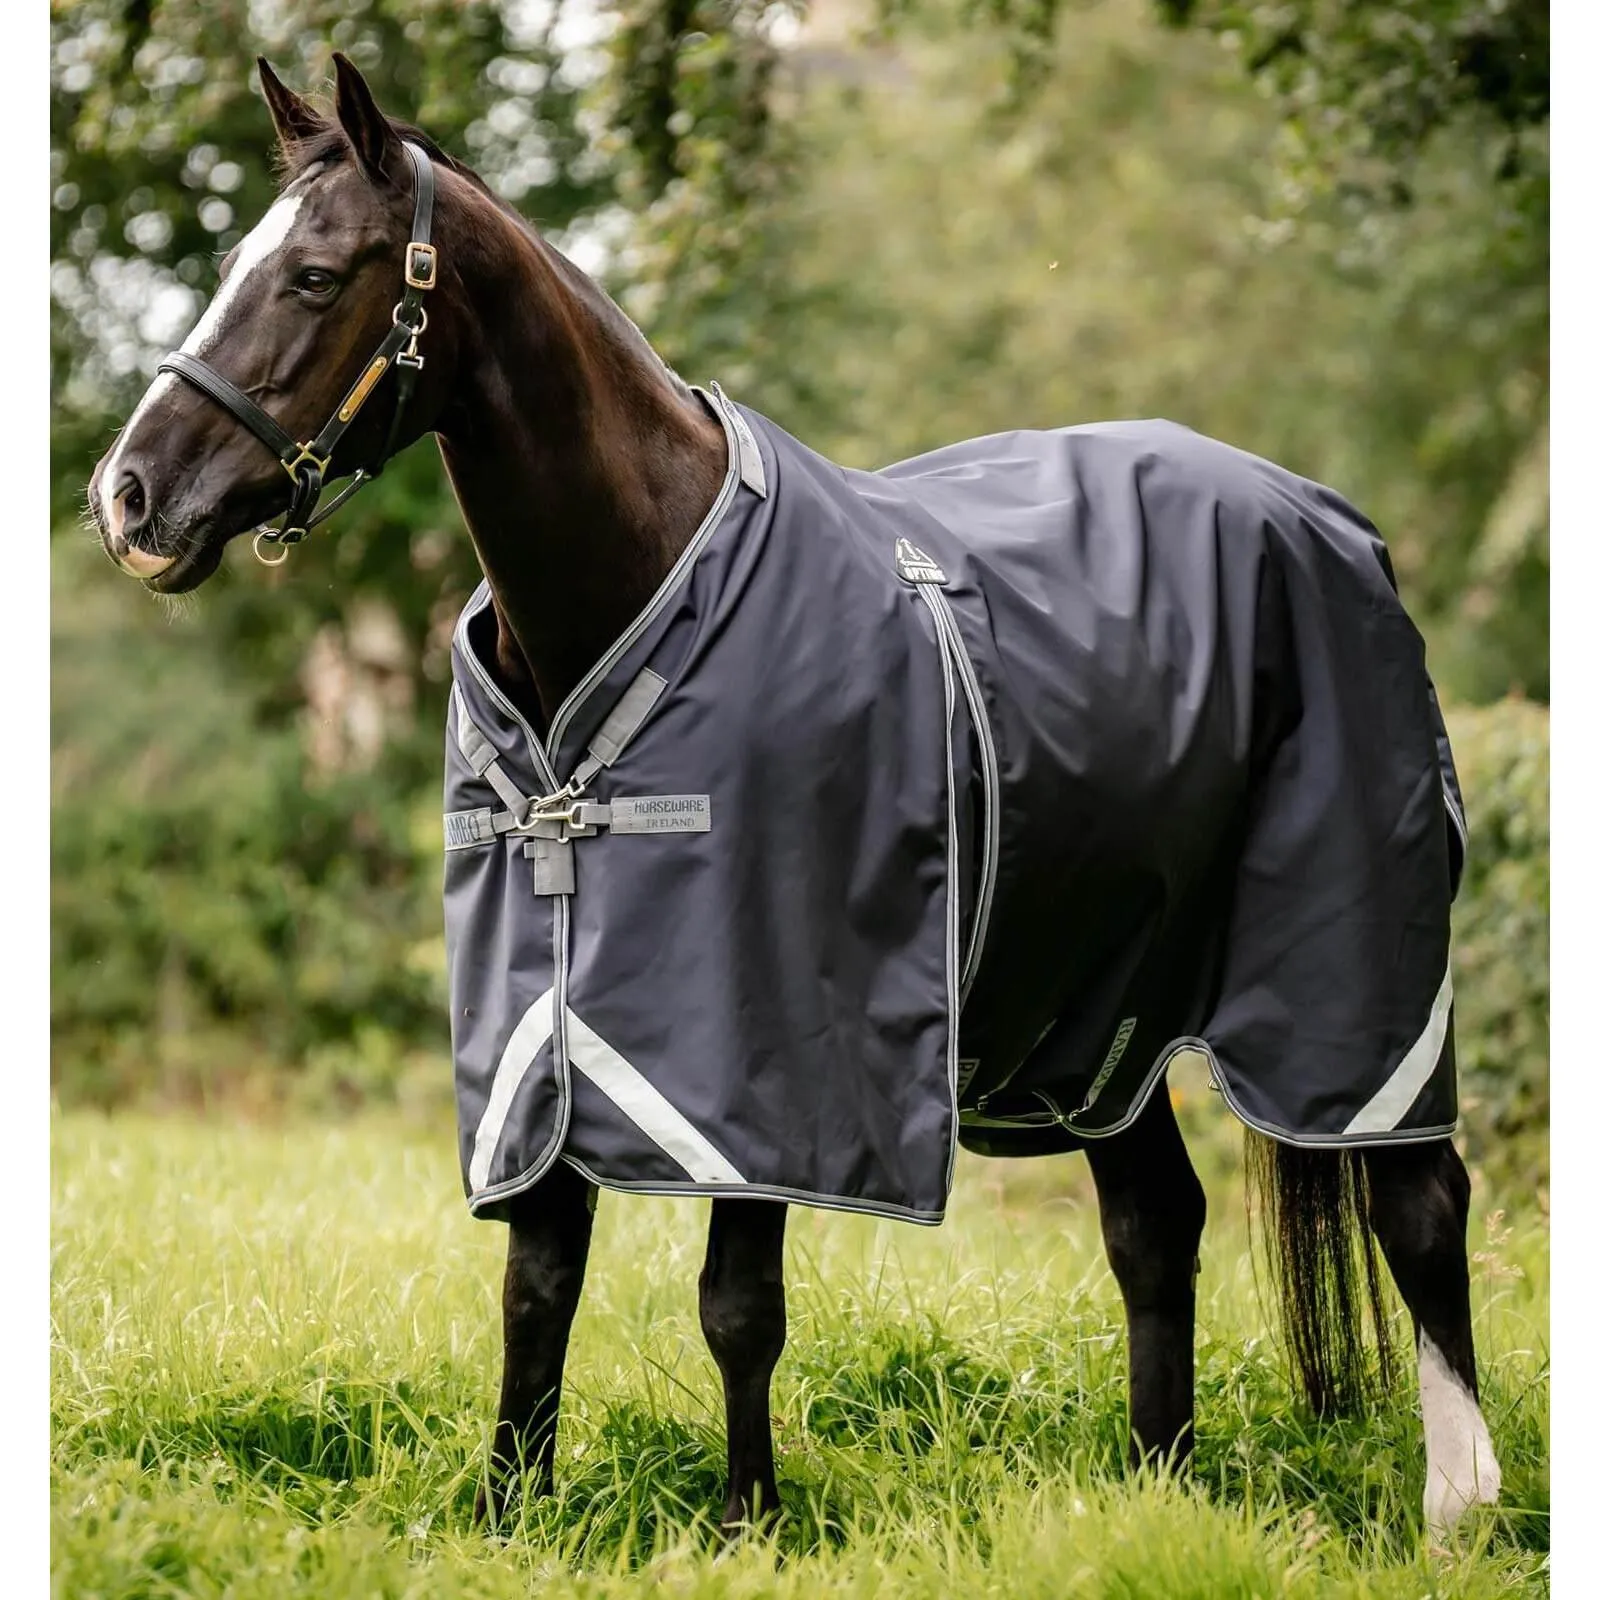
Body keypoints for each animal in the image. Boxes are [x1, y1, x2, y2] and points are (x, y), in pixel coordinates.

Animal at [86, 54, 1502, 1540]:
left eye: (312, 275)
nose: (130, 497)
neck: (640, 585)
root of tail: (1337, 525)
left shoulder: (766, 1050)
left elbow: (737, 1305)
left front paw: (746, 1521)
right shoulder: (546, 1027)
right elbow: (538, 1284)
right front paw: (507, 1517)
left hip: (1355, 975)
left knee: (1420, 1197)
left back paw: (1459, 1504)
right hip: (1100, 1014)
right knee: (1155, 1225)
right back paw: (1160, 1484)